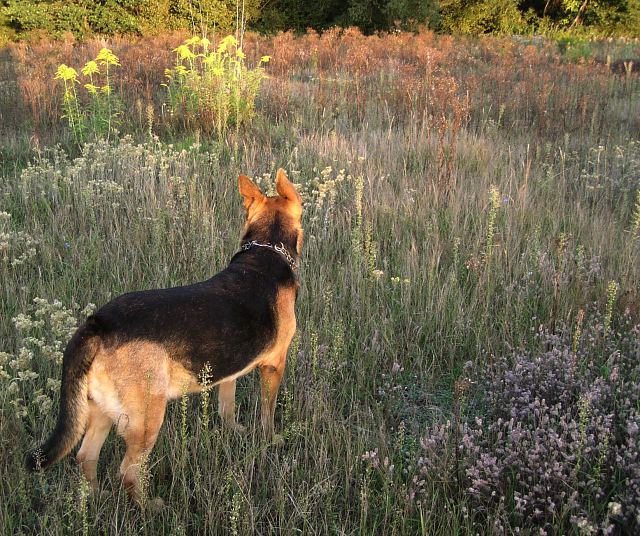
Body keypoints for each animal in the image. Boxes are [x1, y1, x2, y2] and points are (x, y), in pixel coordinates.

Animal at [26, 171, 304, 502]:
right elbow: (266, 414)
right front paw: (270, 440)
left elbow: (227, 405)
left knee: (86, 457)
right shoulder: (274, 366)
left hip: (102, 411)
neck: (266, 249)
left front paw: (234, 430)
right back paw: (150, 507)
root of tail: (98, 324)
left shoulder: (227, 372)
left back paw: (97, 499)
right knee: (128, 473)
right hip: (146, 421)